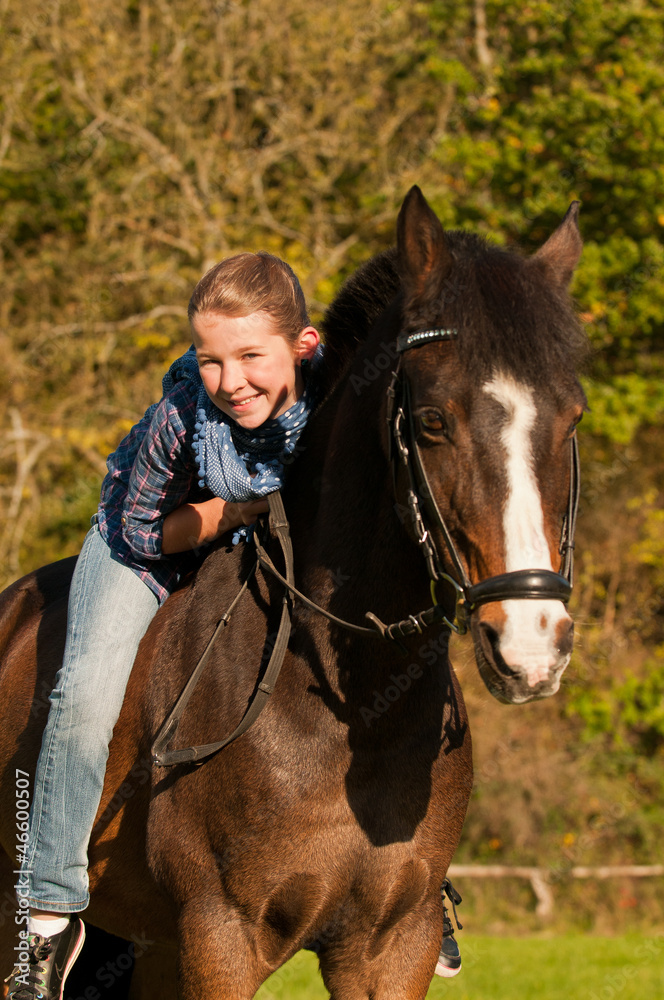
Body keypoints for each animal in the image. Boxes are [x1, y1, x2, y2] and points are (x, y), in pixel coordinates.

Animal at [0, 186, 587, 1000]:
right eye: (433, 421)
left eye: (572, 417)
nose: (532, 645)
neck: (350, 708)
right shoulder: (220, 937)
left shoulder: (393, 946)